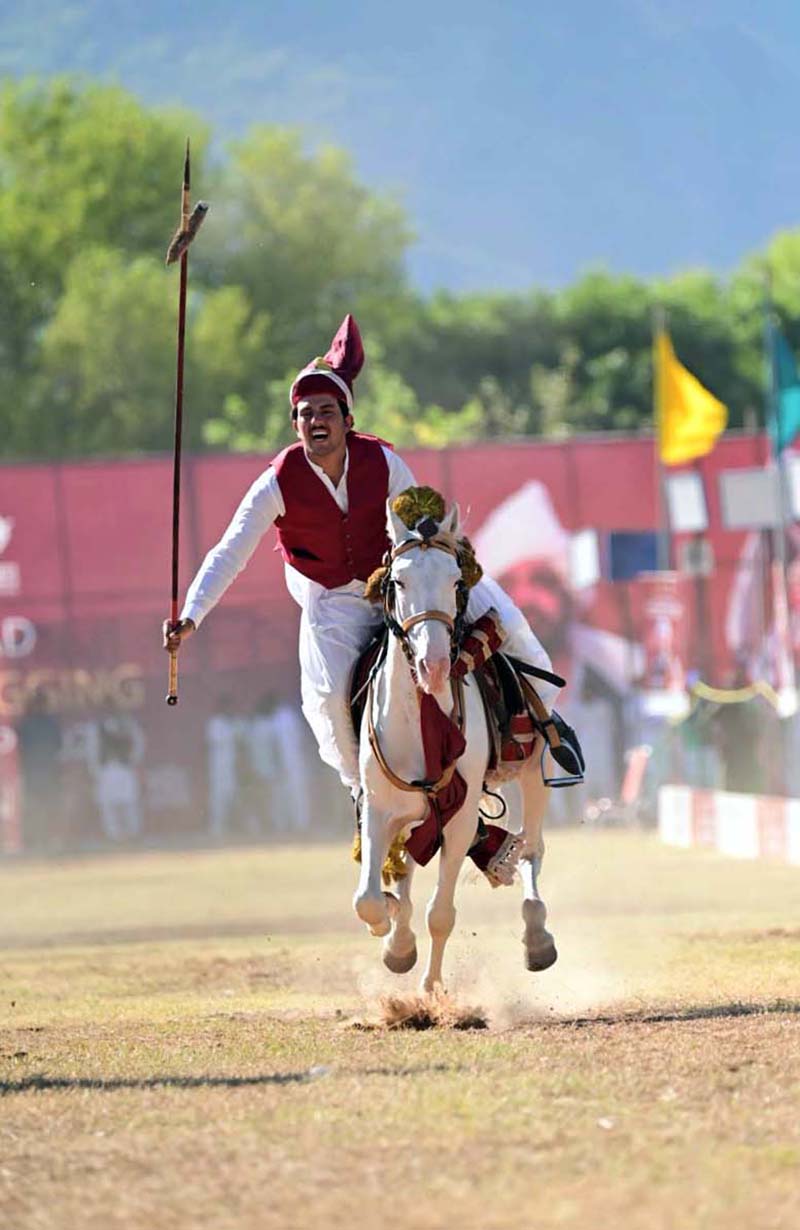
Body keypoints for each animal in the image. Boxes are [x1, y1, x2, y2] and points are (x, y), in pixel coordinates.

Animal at [354, 499, 553, 988]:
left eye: (456, 581)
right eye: (398, 581)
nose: (435, 666)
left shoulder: (459, 820)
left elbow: (440, 914)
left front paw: (431, 990)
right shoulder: (378, 808)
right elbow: (369, 898)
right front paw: (391, 934)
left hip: (531, 772)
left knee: (531, 848)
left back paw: (537, 935)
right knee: (404, 868)